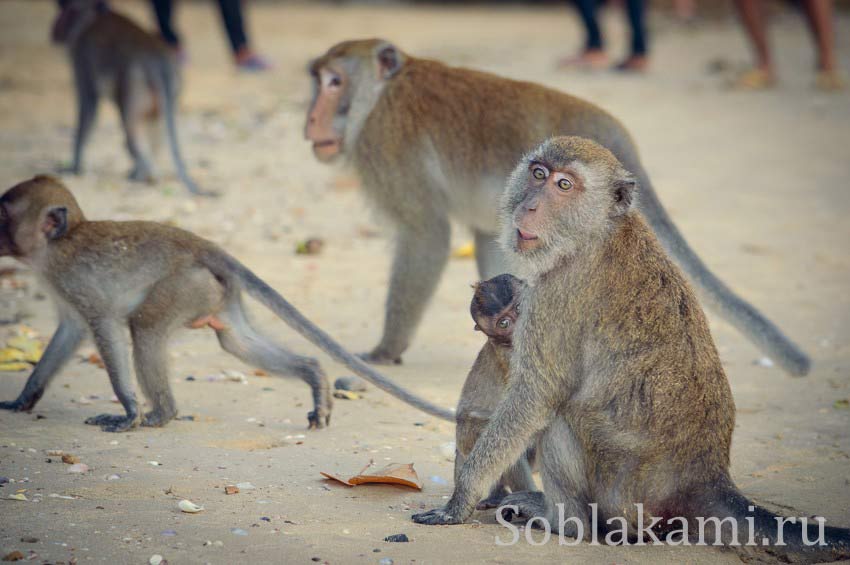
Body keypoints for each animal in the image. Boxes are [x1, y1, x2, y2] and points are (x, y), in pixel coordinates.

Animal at [0, 176, 458, 432]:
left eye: (3, 215)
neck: (56, 246)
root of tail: (203, 246)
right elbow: (68, 332)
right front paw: (24, 399)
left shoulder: (75, 281)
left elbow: (106, 329)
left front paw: (128, 410)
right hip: (216, 294)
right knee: (236, 342)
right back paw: (314, 377)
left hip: (185, 286)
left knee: (145, 329)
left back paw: (161, 413)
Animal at [51, 0, 212, 197]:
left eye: (67, 13)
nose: (57, 30)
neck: (91, 17)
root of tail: (157, 59)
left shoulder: (81, 55)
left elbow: (89, 103)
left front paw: (75, 166)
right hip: (173, 87)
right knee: (154, 124)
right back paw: (145, 169)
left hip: (134, 82)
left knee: (130, 127)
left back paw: (143, 173)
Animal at [304, 37, 808, 376]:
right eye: (318, 81)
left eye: (334, 82)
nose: (310, 119)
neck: (380, 96)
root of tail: (611, 136)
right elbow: (488, 239)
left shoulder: (385, 144)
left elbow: (426, 234)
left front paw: (385, 350)